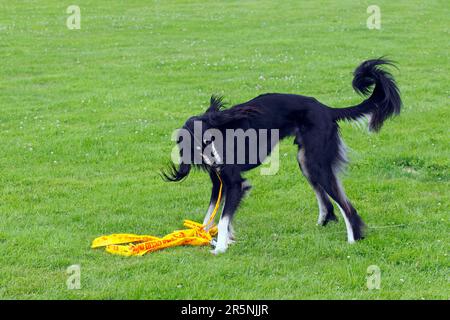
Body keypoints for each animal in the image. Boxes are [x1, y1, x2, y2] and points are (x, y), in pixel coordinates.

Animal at [163, 58, 402, 255]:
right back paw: (322, 224)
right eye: (196, 146)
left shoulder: (235, 184)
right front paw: (211, 238)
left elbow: (222, 219)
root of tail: (326, 109)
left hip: (316, 163)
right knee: (328, 202)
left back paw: (353, 240)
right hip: (305, 162)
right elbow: (208, 217)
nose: (218, 161)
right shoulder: (218, 183)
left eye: (210, 139)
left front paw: (220, 247)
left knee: (347, 206)